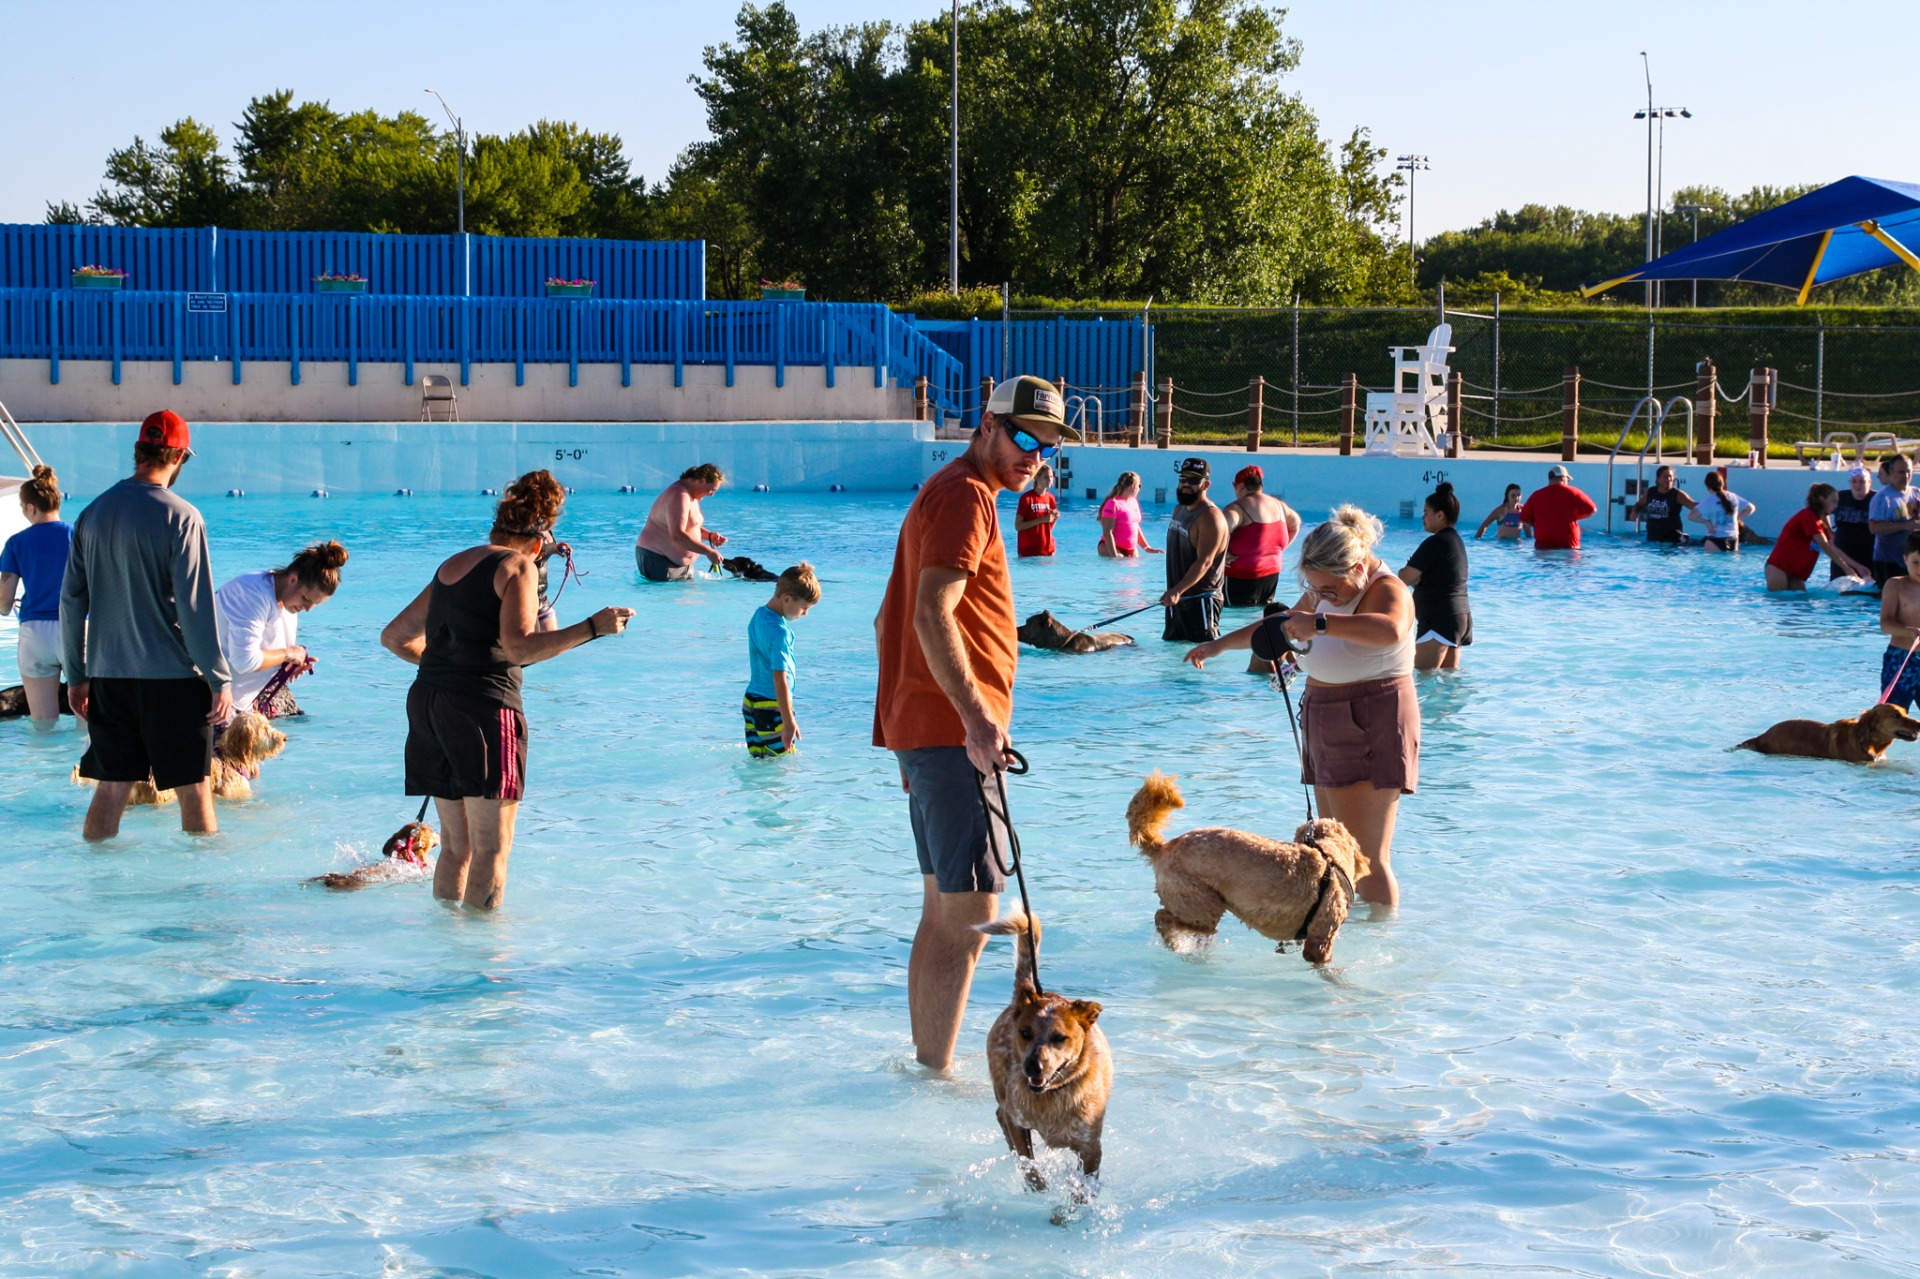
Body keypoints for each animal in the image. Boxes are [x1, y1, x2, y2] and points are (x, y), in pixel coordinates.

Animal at [975, 906, 1113, 1182]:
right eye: (1025, 1033)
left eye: (1060, 1037)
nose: (1032, 1066)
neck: (1052, 1095)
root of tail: (1032, 991)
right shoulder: (1017, 1121)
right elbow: (1029, 1163)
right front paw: (1036, 1185)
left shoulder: (1091, 1147)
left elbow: (1084, 1185)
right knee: (1000, 1114)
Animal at [1128, 772, 1374, 960]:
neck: (1328, 859)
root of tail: (1164, 848)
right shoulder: (1321, 937)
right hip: (1200, 906)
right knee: (1162, 917)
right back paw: (1175, 943)